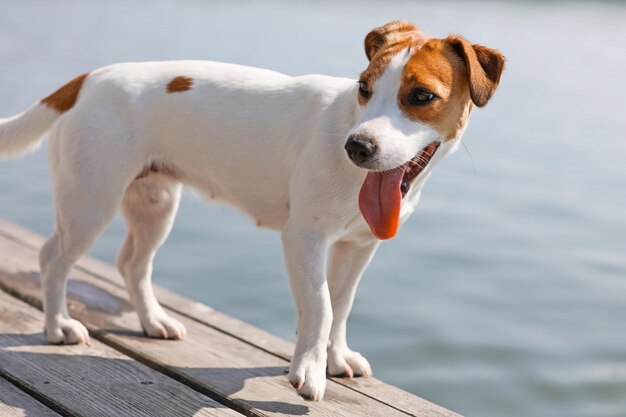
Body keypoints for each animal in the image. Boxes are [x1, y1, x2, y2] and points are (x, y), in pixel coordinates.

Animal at [0, 21, 502, 398]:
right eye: (364, 88)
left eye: (421, 97)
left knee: (132, 264)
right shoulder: (304, 238)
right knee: (53, 258)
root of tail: (86, 79)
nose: (357, 147)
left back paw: (153, 321)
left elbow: (341, 305)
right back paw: (58, 327)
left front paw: (334, 358)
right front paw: (309, 370)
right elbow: (320, 305)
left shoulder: (357, 247)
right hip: (90, 203)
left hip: (155, 204)